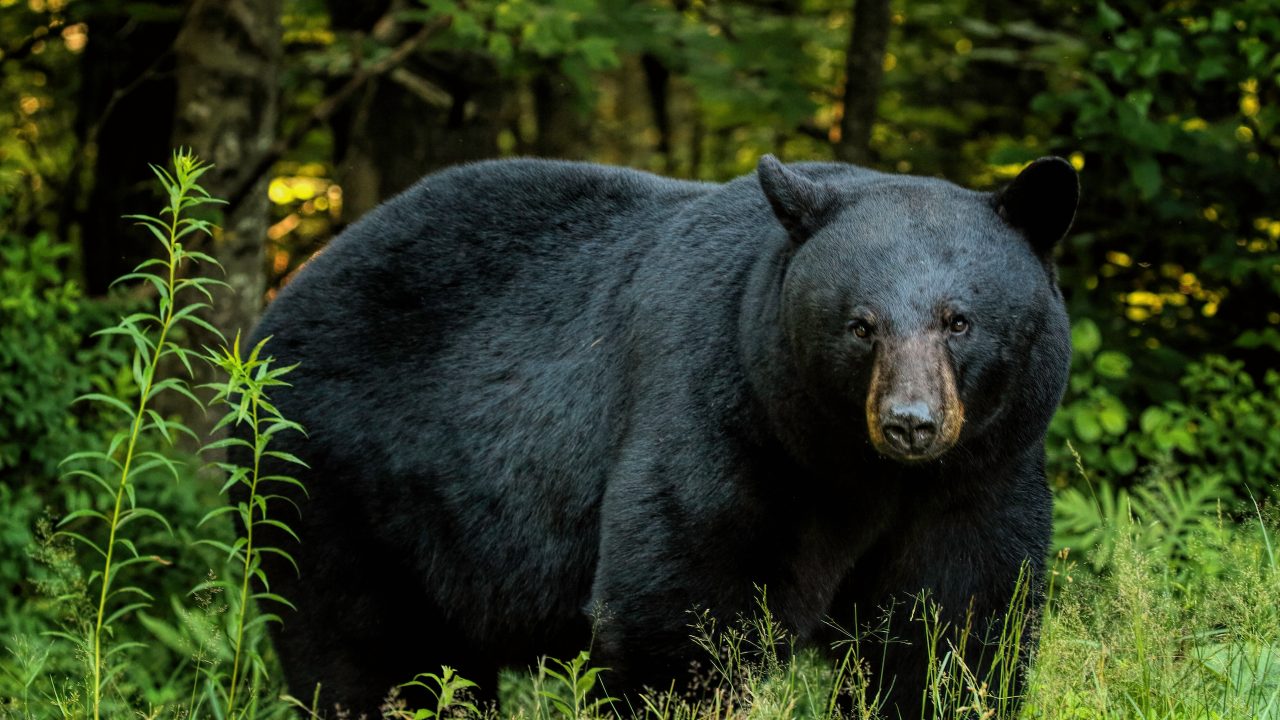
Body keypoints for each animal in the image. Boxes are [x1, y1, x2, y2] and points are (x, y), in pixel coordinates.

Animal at [242, 154, 1078, 718]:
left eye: (959, 321)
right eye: (860, 325)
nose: (910, 423)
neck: (857, 470)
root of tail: (279, 308)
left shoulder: (978, 476)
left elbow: (952, 631)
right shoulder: (729, 423)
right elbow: (680, 616)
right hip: (345, 485)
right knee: (371, 656)